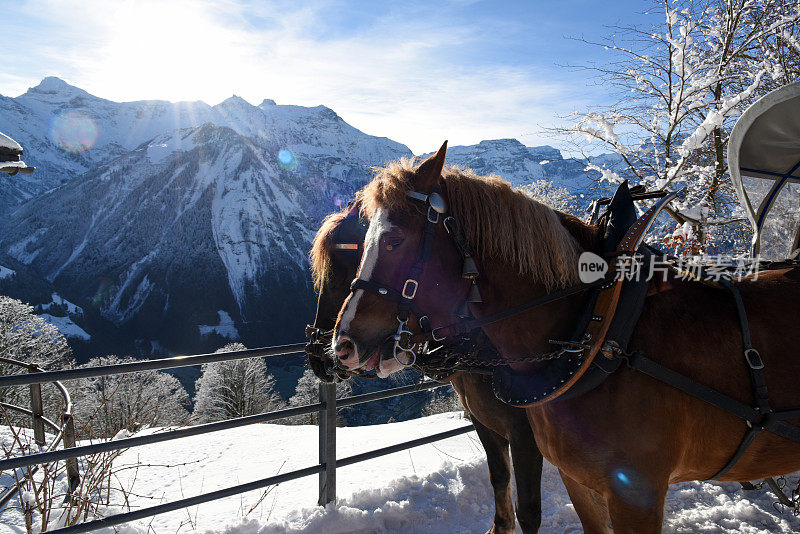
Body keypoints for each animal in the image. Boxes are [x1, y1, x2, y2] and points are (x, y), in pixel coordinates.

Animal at [306, 203, 544, 532]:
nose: (323, 354)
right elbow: (499, 476)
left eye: (350, 257)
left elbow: (530, 509)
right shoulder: (484, 421)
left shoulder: (527, 437)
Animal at [330, 144, 800, 532]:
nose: (342, 344)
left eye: (393, 239)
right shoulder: (577, 479)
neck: (596, 331)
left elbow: (529, 509)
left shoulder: (636, 494)